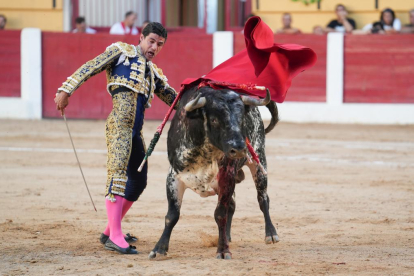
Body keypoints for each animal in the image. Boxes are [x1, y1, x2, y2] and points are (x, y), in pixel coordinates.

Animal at [147, 85, 280, 260]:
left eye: (241, 119)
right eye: (215, 120)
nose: (239, 149)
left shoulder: (226, 177)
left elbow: (220, 214)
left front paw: (223, 250)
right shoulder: (174, 177)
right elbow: (172, 216)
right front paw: (159, 249)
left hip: (259, 163)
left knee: (263, 199)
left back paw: (270, 234)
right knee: (233, 205)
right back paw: (226, 236)